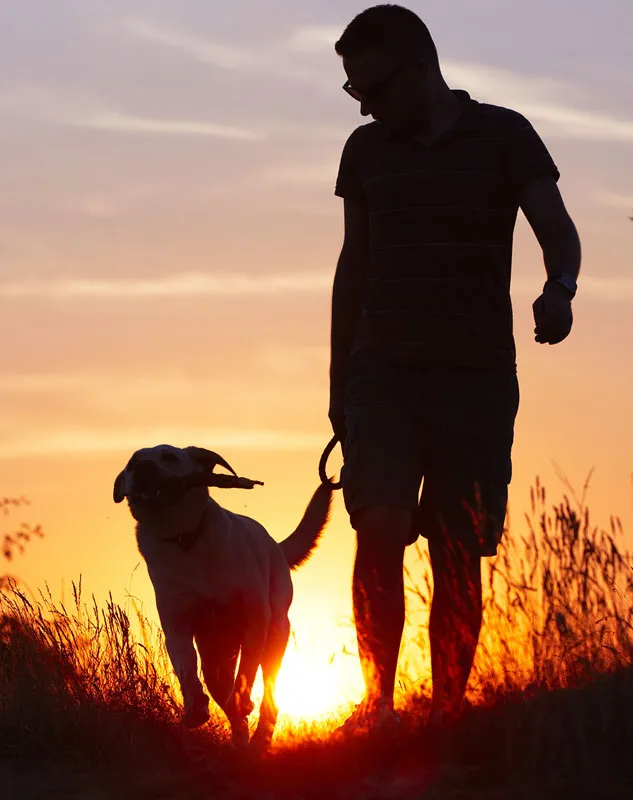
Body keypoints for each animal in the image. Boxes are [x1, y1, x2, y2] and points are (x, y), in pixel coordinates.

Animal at [113, 446, 330, 748]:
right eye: (132, 463)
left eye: (169, 456)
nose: (143, 466)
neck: (186, 540)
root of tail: (275, 545)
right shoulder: (177, 623)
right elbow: (185, 666)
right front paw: (195, 707)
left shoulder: (255, 618)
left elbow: (247, 670)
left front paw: (241, 699)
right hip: (215, 655)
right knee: (222, 690)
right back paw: (241, 739)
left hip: (276, 633)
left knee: (269, 692)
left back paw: (260, 735)